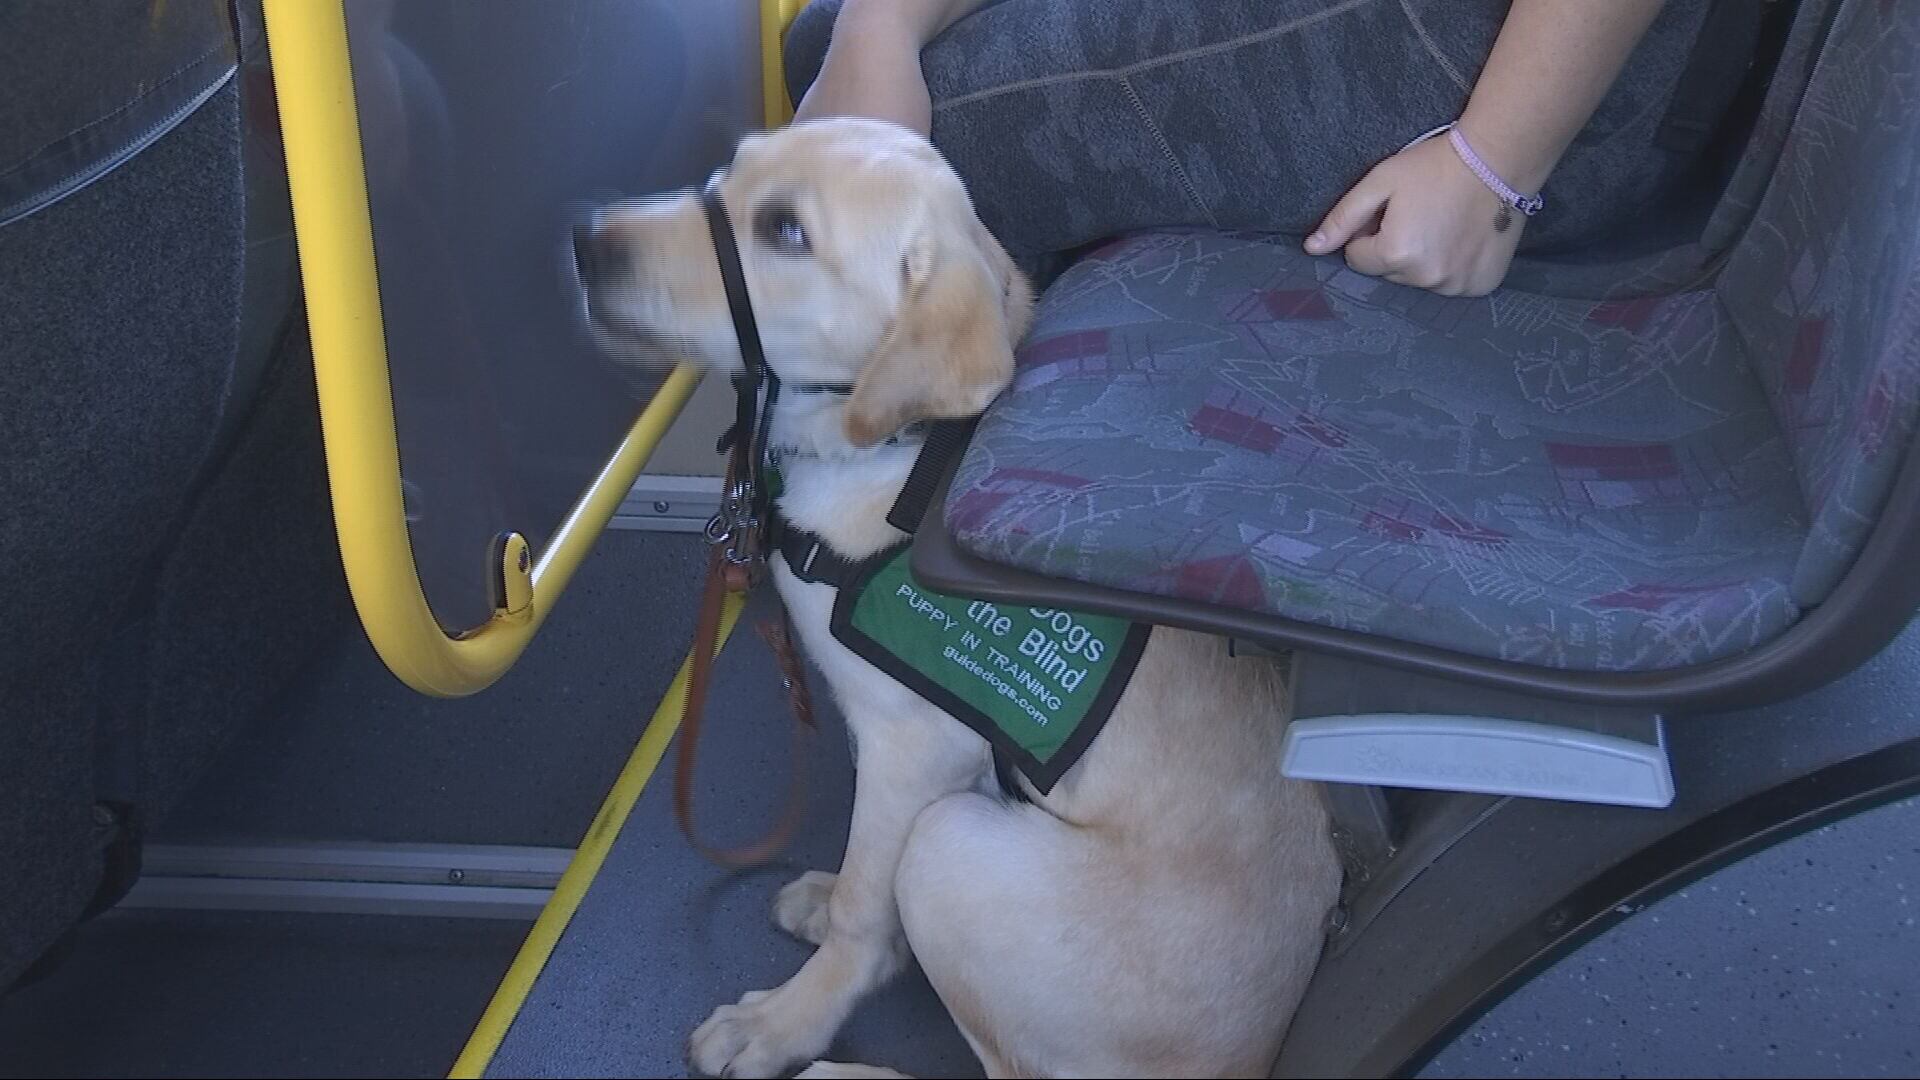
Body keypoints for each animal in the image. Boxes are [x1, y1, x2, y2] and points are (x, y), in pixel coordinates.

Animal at [576, 117, 1344, 1076]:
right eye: (733, 165)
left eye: (785, 231)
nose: (584, 239)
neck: (901, 448)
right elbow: (862, 874)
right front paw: (830, 901)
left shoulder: (915, 747)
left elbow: (866, 910)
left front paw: (785, 1021)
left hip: (949, 851)